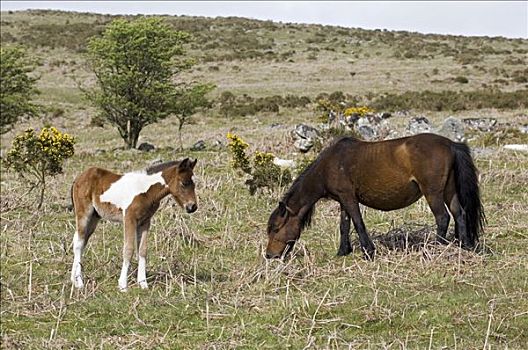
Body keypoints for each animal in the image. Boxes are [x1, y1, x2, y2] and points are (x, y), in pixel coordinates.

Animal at [68, 158, 196, 290]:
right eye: (184, 183)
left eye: (194, 184)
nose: (192, 207)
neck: (146, 191)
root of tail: (78, 177)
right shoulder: (129, 219)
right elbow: (128, 249)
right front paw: (123, 285)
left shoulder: (145, 222)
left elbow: (142, 250)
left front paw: (143, 283)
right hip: (84, 214)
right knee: (79, 244)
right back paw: (80, 282)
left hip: (94, 218)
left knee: (80, 241)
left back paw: (74, 280)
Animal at [266, 134, 484, 260]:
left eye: (276, 228)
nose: (270, 255)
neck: (329, 165)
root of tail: (450, 144)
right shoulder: (343, 201)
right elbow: (344, 225)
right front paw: (343, 251)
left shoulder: (349, 198)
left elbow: (358, 223)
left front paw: (368, 252)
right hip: (449, 191)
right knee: (459, 213)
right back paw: (465, 246)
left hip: (433, 193)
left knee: (443, 217)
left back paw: (434, 249)